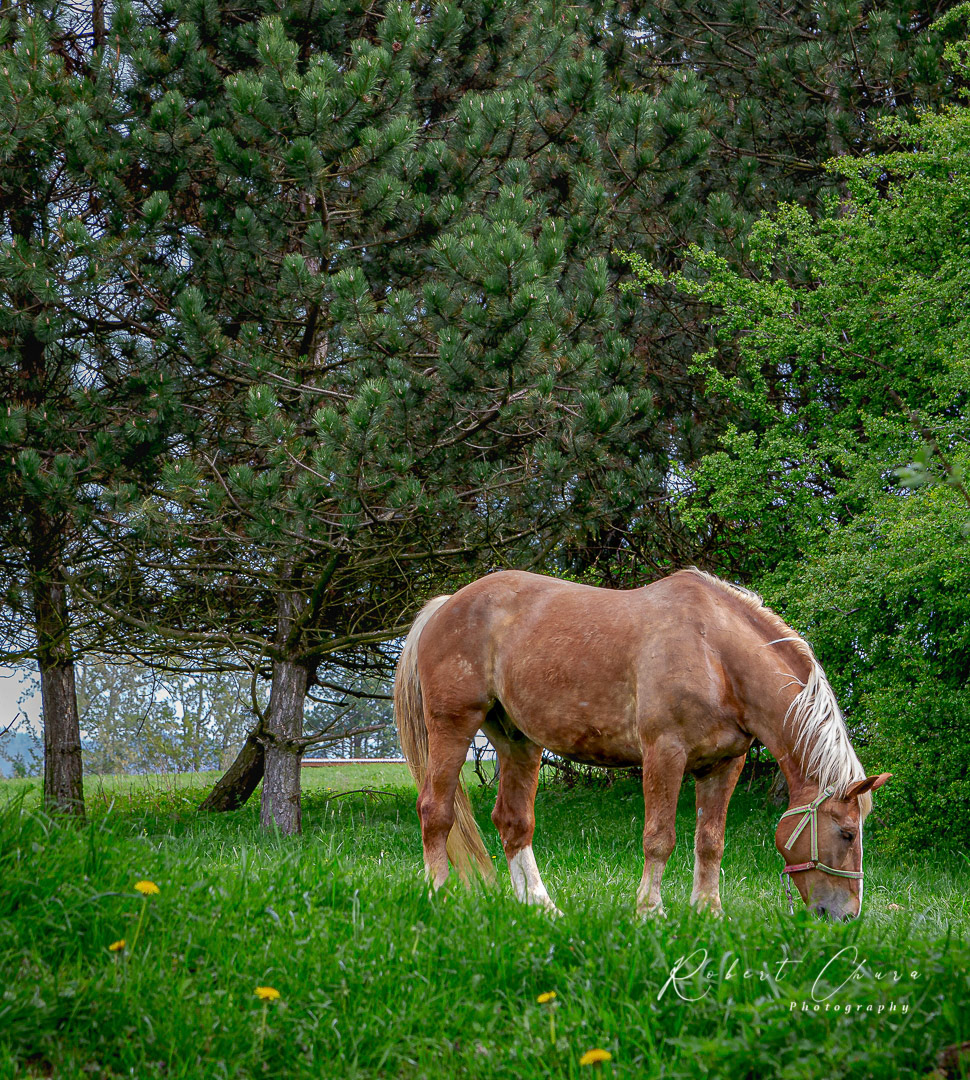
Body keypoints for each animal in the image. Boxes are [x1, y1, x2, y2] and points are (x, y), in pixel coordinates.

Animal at [393, 569, 890, 920]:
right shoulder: (664, 753)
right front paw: (649, 911)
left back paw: (540, 906)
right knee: (435, 811)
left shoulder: (724, 764)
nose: (846, 915)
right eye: (847, 833)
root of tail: (446, 605)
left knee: (513, 822)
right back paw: (438, 895)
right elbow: (659, 838)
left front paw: (708, 913)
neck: (716, 654)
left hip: (518, 740)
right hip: (453, 725)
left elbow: (710, 841)